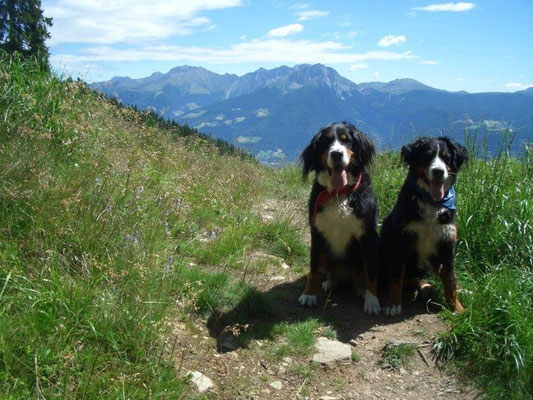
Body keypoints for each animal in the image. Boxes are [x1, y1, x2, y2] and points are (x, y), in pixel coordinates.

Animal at [298, 122, 380, 316]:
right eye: (326, 142)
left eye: (346, 140)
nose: (336, 154)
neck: (338, 193)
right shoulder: (317, 233)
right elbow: (313, 268)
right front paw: (309, 294)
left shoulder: (368, 236)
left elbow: (371, 272)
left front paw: (372, 301)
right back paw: (330, 282)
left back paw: (361, 289)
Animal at [380, 137, 468, 316]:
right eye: (427, 156)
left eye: (446, 157)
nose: (438, 171)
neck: (432, 202)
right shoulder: (401, 242)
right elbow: (396, 277)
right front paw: (393, 304)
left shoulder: (446, 243)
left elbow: (450, 280)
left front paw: (457, 308)